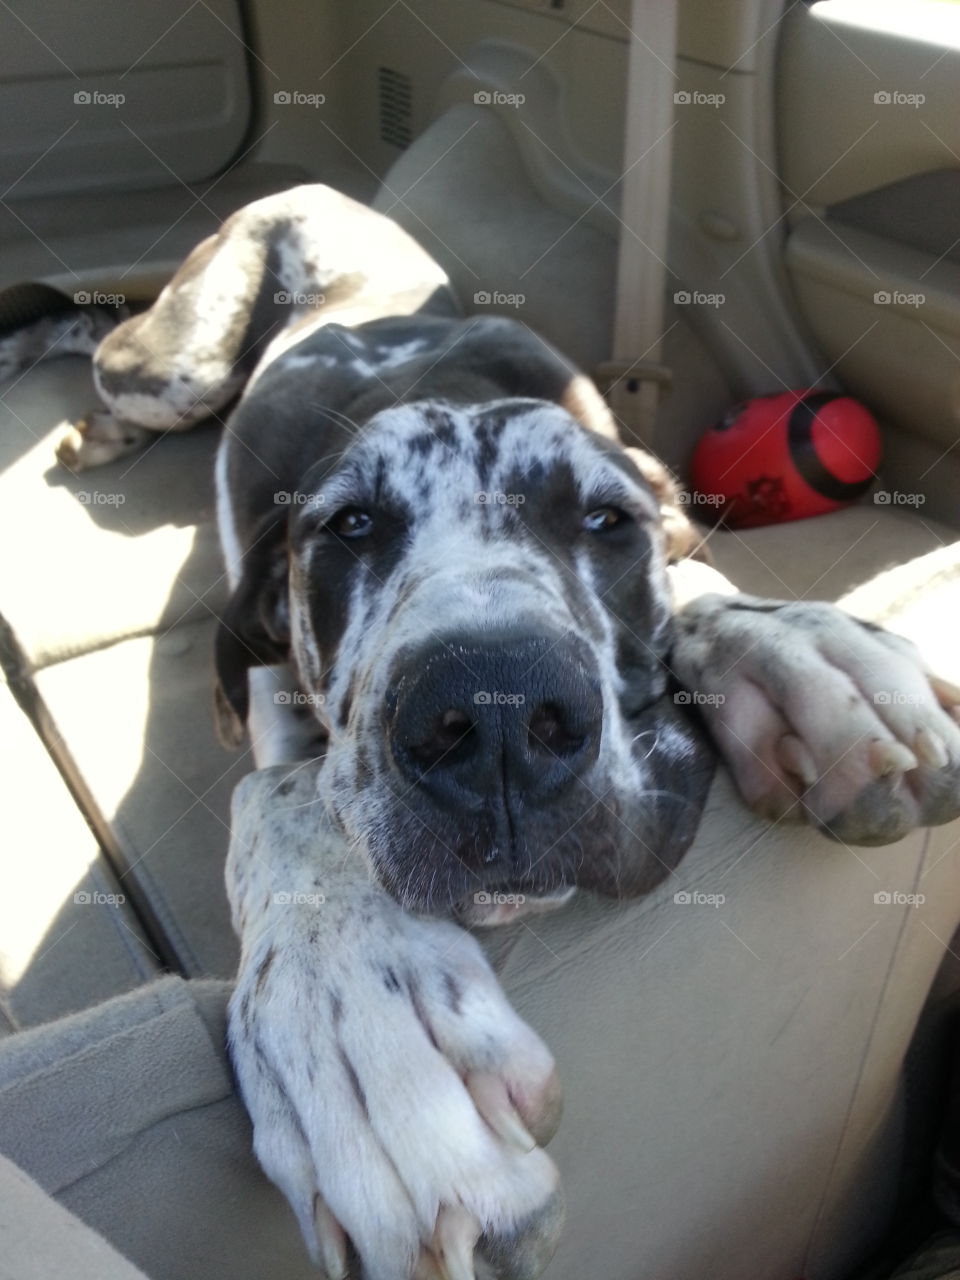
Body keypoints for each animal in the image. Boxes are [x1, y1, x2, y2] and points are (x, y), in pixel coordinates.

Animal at [30, 185, 960, 1274]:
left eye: (606, 521)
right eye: (349, 526)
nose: (496, 714)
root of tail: (312, 188)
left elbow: (698, 582)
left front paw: (805, 650)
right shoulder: (269, 700)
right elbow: (288, 790)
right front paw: (356, 1016)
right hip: (173, 363)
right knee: (96, 331)